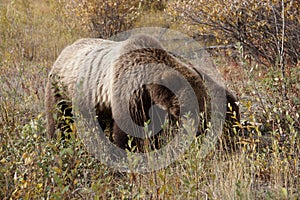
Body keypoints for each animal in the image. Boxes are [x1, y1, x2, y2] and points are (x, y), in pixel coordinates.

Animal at [44, 33, 240, 151]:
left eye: (203, 105)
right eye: (192, 109)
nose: (199, 132)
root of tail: (64, 51)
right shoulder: (128, 94)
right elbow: (127, 130)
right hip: (62, 89)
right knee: (59, 119)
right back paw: (57, 141)